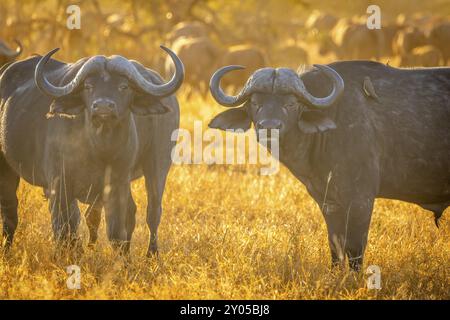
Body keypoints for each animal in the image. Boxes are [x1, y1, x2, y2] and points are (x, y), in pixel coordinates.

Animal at [0, 45, 184, 255]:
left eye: (124, 86)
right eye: (88, 86)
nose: (103, 106)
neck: (99, 148)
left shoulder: (116, 184)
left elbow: (114, 231)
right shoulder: (59, 183)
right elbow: (65, 227)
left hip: (158, 163)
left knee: (152, 211)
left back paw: (151, 255)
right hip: (6, 166)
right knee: (10, 210)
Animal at [209, 60, 450, 270]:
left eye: (291, 103)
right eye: (255, 103)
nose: (269, 126)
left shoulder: (362, 199)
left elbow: (354, 248)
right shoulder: (328, 201)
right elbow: (335, 245)